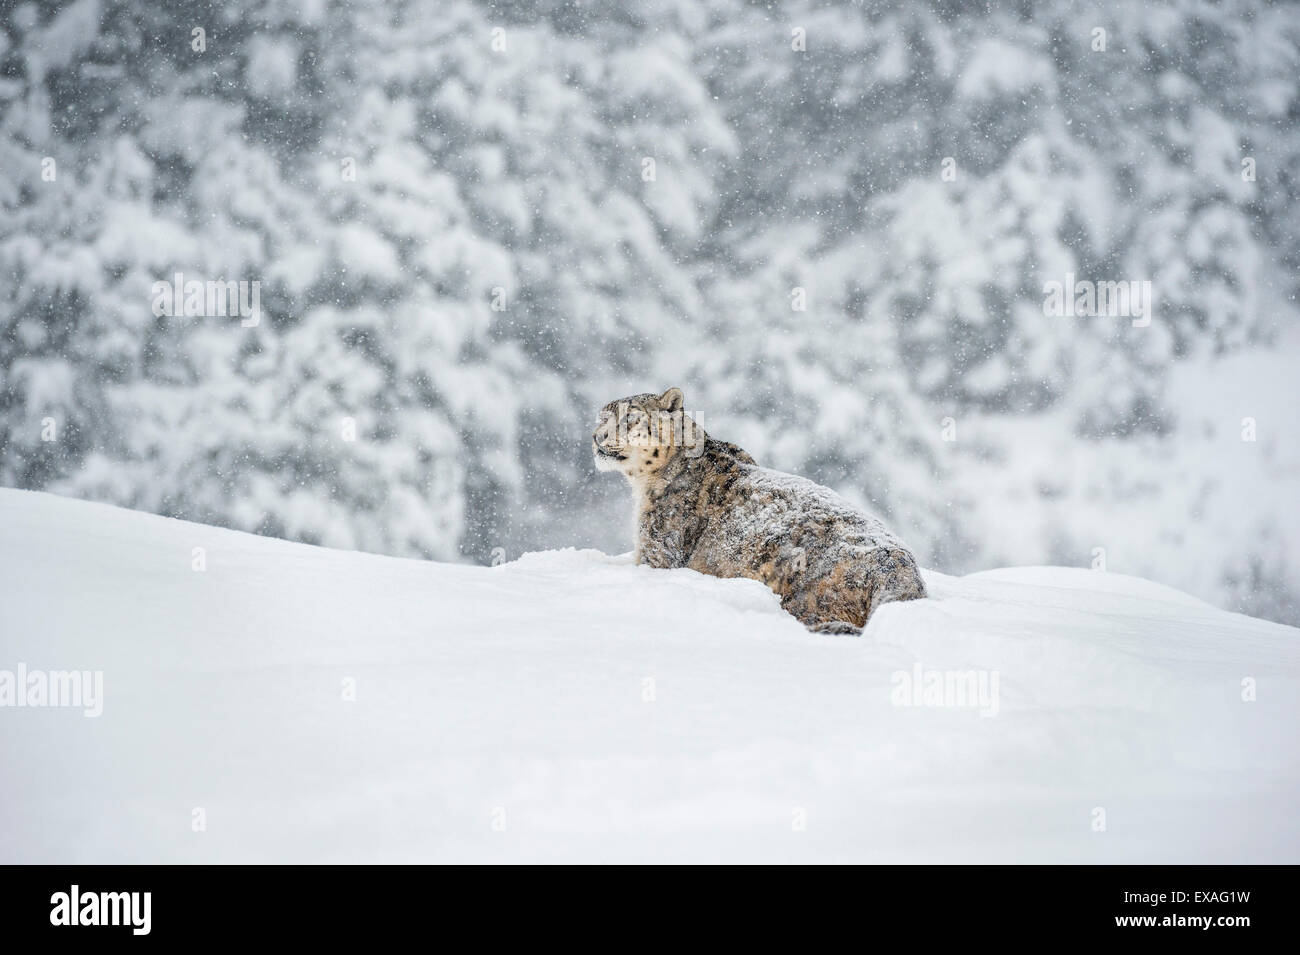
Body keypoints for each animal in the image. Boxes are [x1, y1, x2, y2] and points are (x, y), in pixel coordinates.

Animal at [595, 389, 930, 634]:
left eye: (631, 417)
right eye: (602, 417)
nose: (597, 437)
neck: (644, 485)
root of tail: (901, 566)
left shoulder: (658, 550)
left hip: (806, 589)